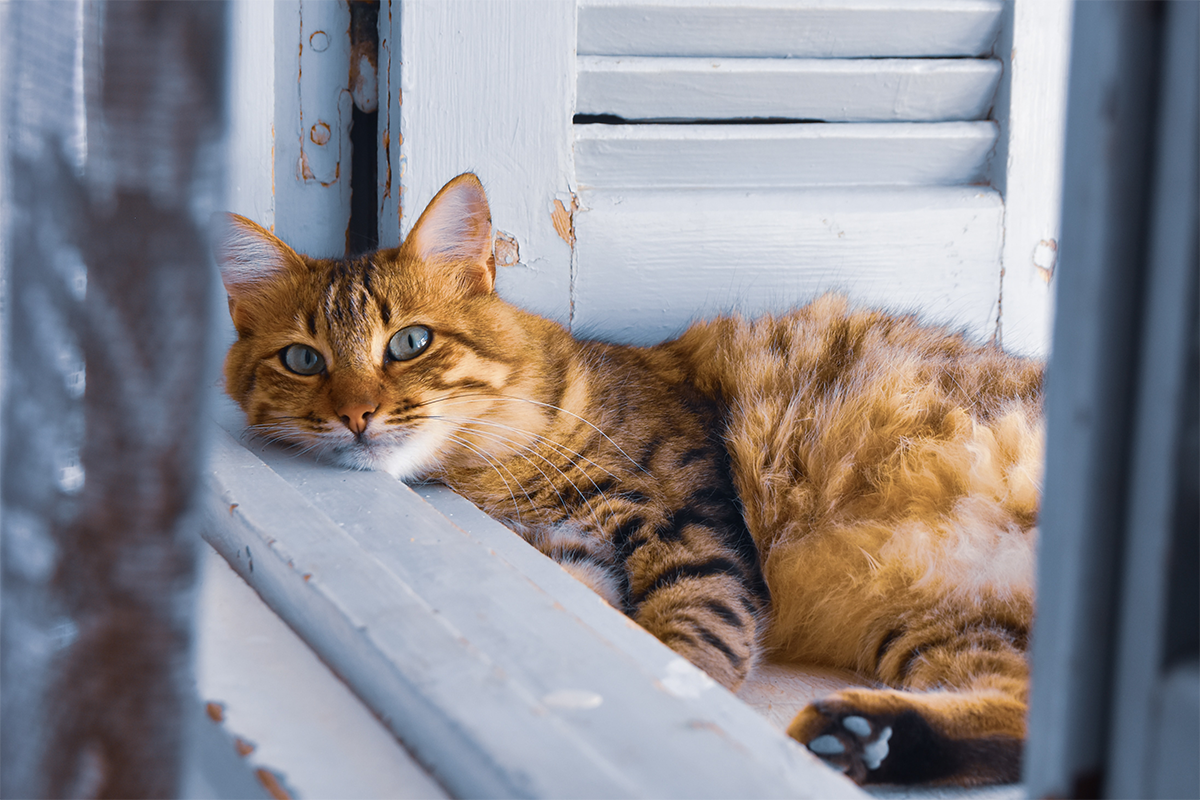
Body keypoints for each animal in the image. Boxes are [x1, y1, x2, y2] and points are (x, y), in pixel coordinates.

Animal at [213, 175, 1041, 786]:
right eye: (303, 360)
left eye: (409, 343)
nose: (356, 415)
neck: (502, 466)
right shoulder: (572, 557)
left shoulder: (688, 523)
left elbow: (691, 636)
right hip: (939, 619)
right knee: (1021, 712)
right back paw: (866, 738)